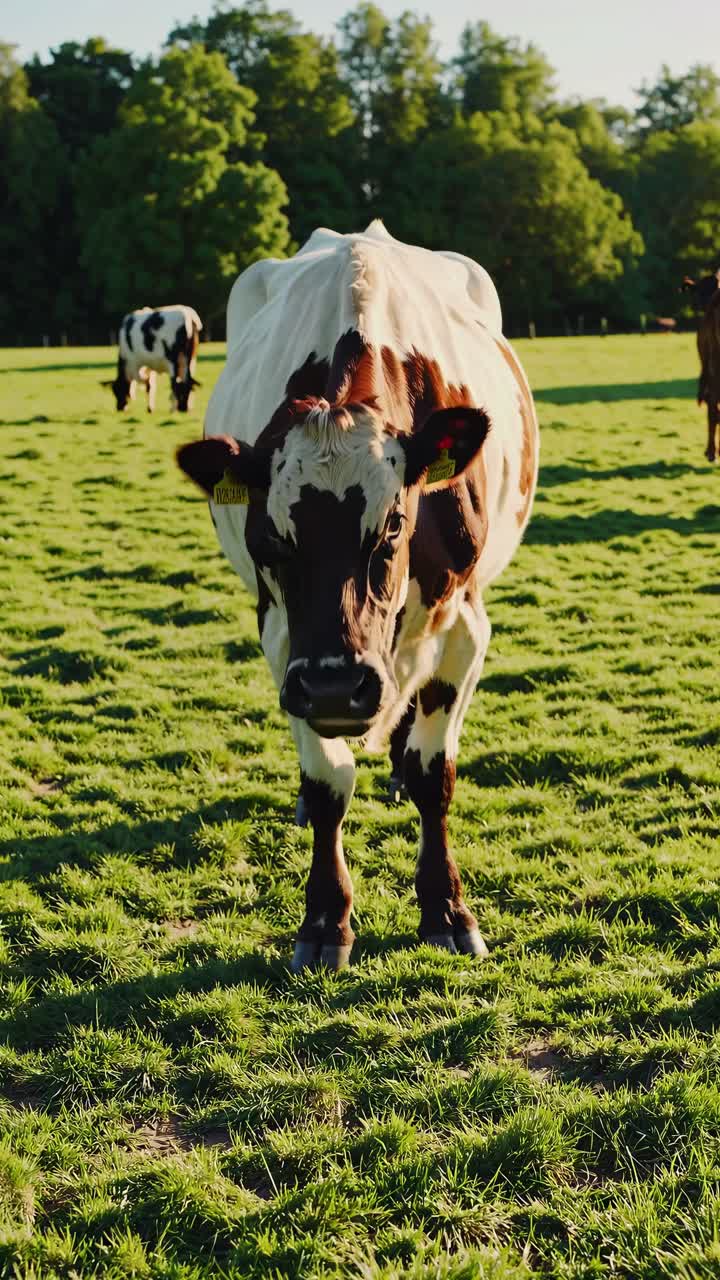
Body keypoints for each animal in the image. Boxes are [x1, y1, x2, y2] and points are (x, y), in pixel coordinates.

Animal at [177, 222, 539, 972]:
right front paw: (324, 918)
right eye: (269, 534)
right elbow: (327, 783)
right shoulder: (285, 642)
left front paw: (446, 909)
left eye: (395, 523)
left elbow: (435, 772)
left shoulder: (464, 628)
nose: (338, 689)